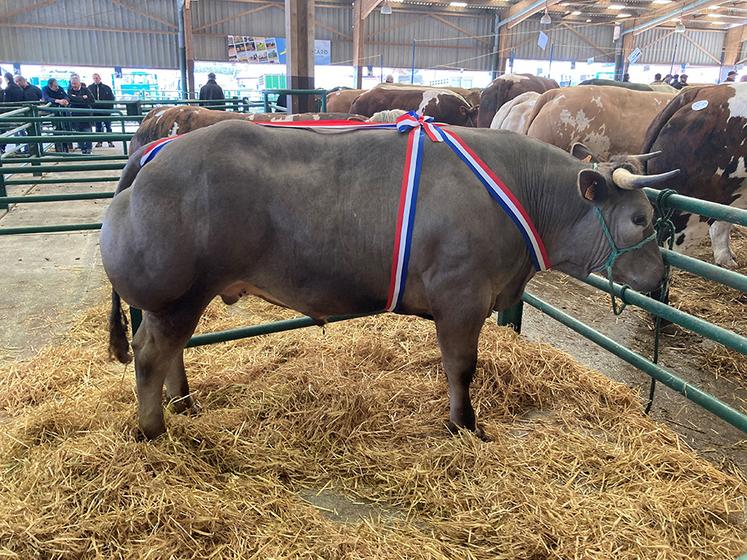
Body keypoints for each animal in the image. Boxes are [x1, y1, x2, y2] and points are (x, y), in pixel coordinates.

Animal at [102, 120, 676, 440]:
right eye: (640, 218)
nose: (658, 277)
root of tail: (157, 153)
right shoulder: (462, 296)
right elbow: (461, 367)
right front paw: (465, 424)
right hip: (175, 294)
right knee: (152, 352)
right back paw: (153, 430)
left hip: (182, 297)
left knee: (172, 351)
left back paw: (185, 403)